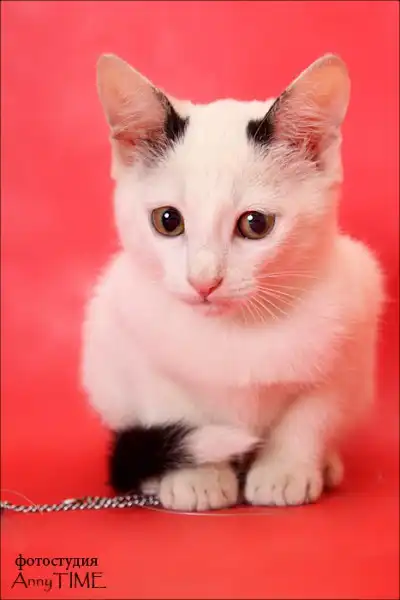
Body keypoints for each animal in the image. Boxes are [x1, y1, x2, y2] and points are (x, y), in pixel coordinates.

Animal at [82, 53, 384, 511]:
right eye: (167, 220)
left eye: (255, 224)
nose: (203, 281)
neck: (236, 329)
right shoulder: (131, 331)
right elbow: (166, 399)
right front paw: (197, 476)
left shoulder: (350, 339)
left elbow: (310, 415)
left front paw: (284, 470)